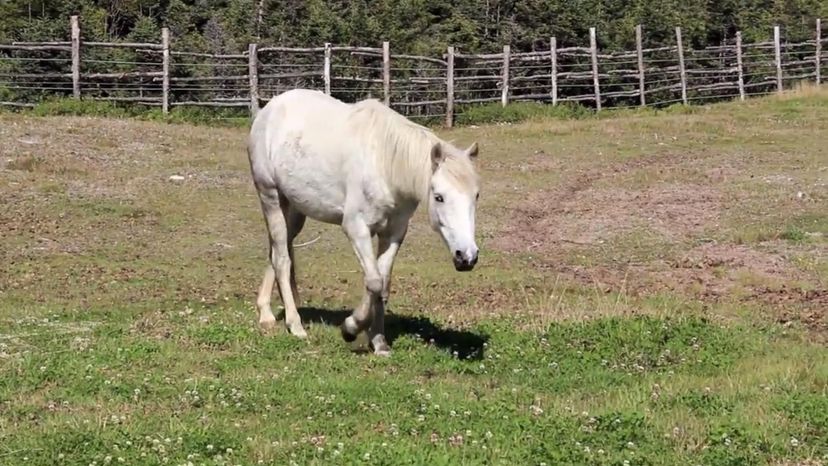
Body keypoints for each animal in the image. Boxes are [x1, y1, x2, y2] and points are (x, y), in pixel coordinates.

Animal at [246, 89, 478, 354]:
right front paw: (350, 328)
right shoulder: (356, 228)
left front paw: (379, 342)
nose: (467, 257)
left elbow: (382, 283)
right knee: (282, 260)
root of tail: (269, 108)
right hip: (270, 197)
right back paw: (294, 325)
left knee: (276, 252)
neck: (384, 165)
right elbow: (374, 282)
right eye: (439, 197)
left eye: (476, 195)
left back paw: (266, 314)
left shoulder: (394, 233)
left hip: (294, 212)